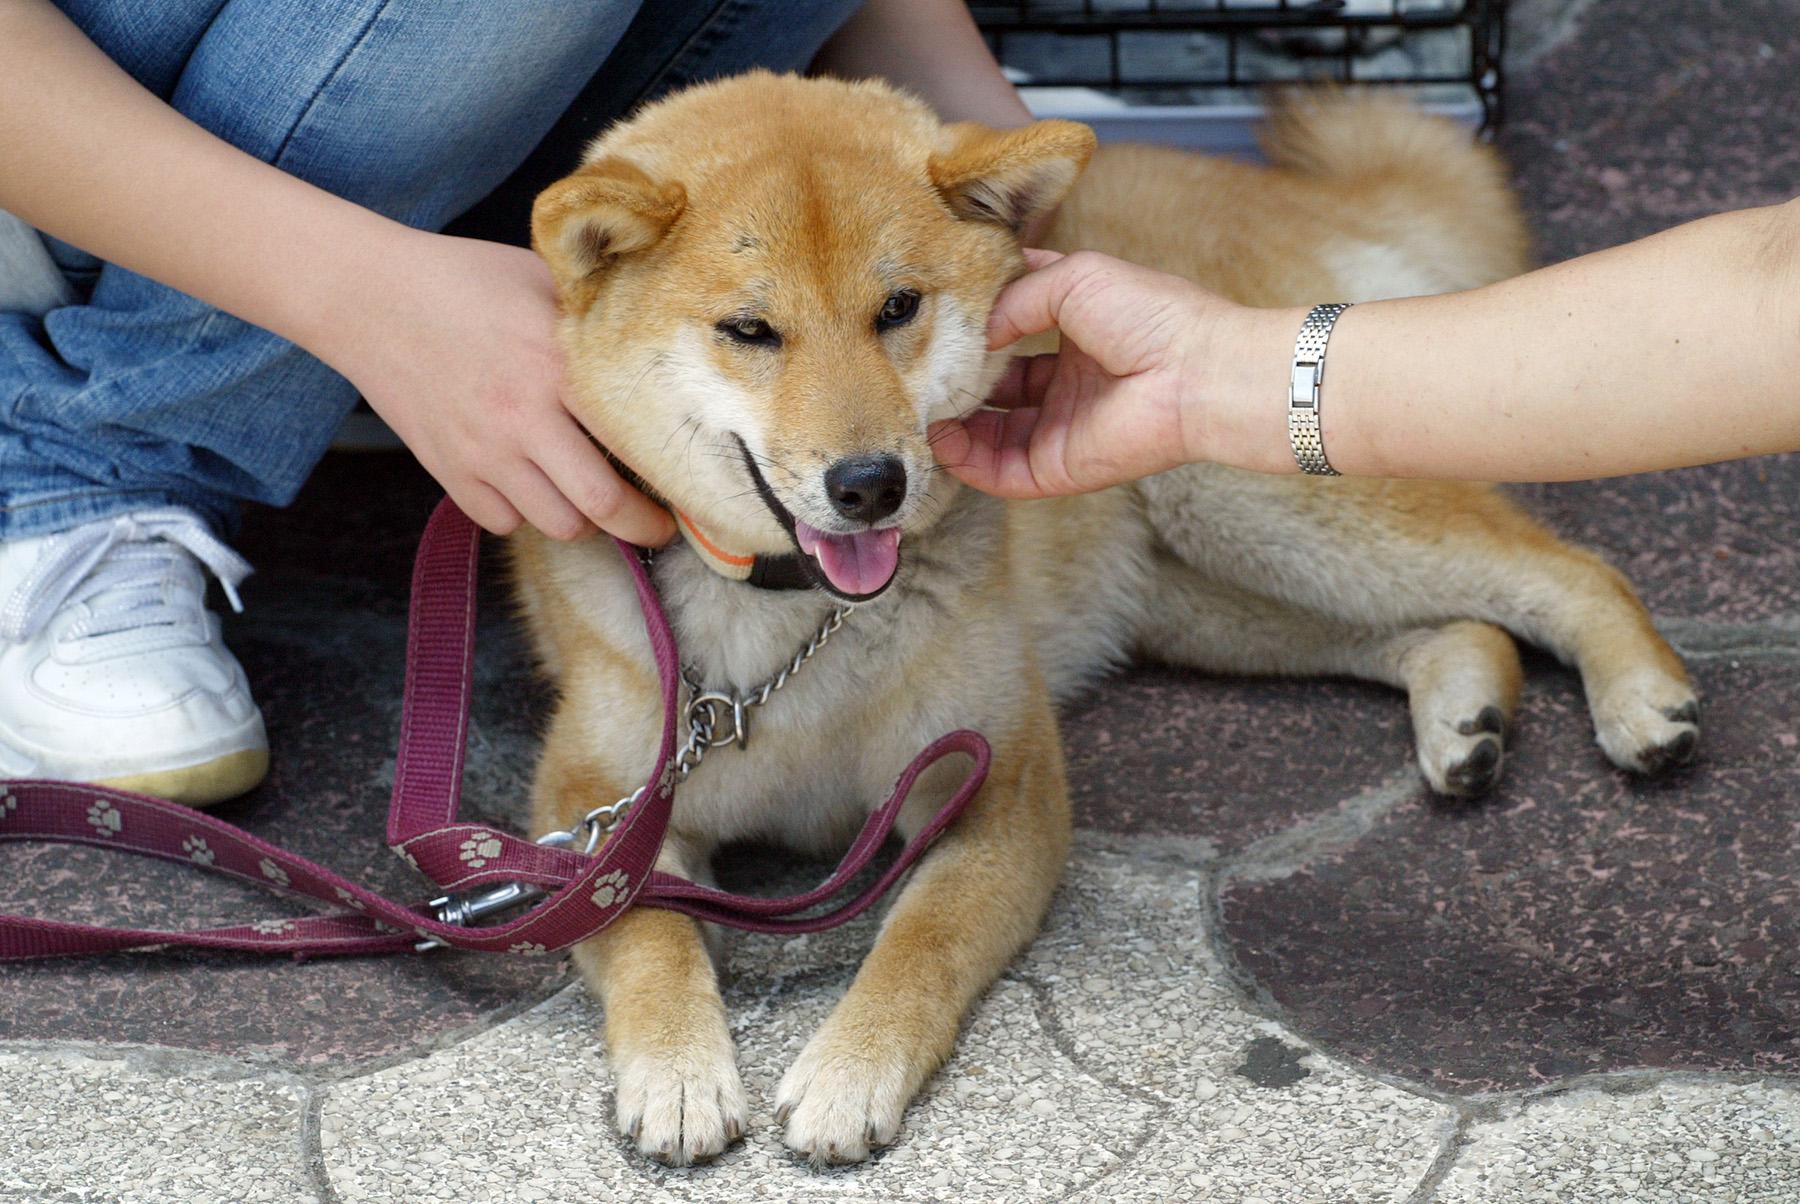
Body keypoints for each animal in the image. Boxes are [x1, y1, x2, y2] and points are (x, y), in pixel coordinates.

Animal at [511, 72, 1699, 1166]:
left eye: (898, 309)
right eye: (750, 329)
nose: (869, 484)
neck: (797, 629)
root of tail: (1272, 190)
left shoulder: (1001, 787)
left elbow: (918, 942)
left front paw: (851, 1070)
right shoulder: (594, 806)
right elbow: (645, 926)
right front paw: (675, 1070)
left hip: (1256, 491)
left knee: (1565, 567)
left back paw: (1641, 696)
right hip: (1201, 590)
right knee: (1448, 625)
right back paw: (1466, 716)